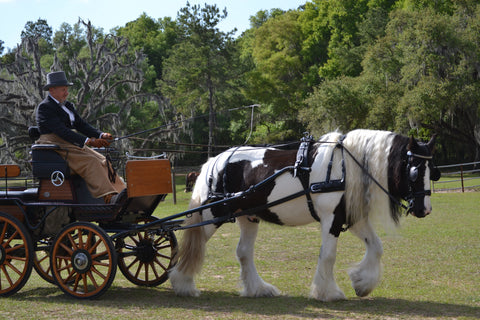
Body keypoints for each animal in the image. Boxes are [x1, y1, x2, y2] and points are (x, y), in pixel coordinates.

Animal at [168, 129, 438, 302]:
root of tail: (215, 161)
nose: (425, 209)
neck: (345, 167)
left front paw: (362, 283)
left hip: (248, 217)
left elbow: (377, 247)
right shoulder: (331, 219)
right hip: (212, 213)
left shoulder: (351, 218)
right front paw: (327, 293)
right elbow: (328, 255)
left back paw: (258, 289)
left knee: (244, 253)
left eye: (432, 171)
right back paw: (183, 284)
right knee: (194, 246)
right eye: (415, 171)